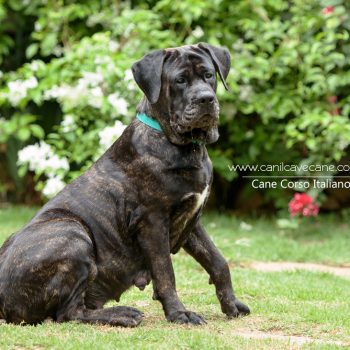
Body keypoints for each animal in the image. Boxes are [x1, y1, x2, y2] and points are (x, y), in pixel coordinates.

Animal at [0, 43, 249, 326]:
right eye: (180, 81)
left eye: (208, 75)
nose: (206, 99)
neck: (184, 145)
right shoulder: (153, 221)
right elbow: (166, 273)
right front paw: (179, 313)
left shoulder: (192, 219)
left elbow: (217, 261)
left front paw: (231, 304)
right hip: (72, 233)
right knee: (69, 312)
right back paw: (122, 314)